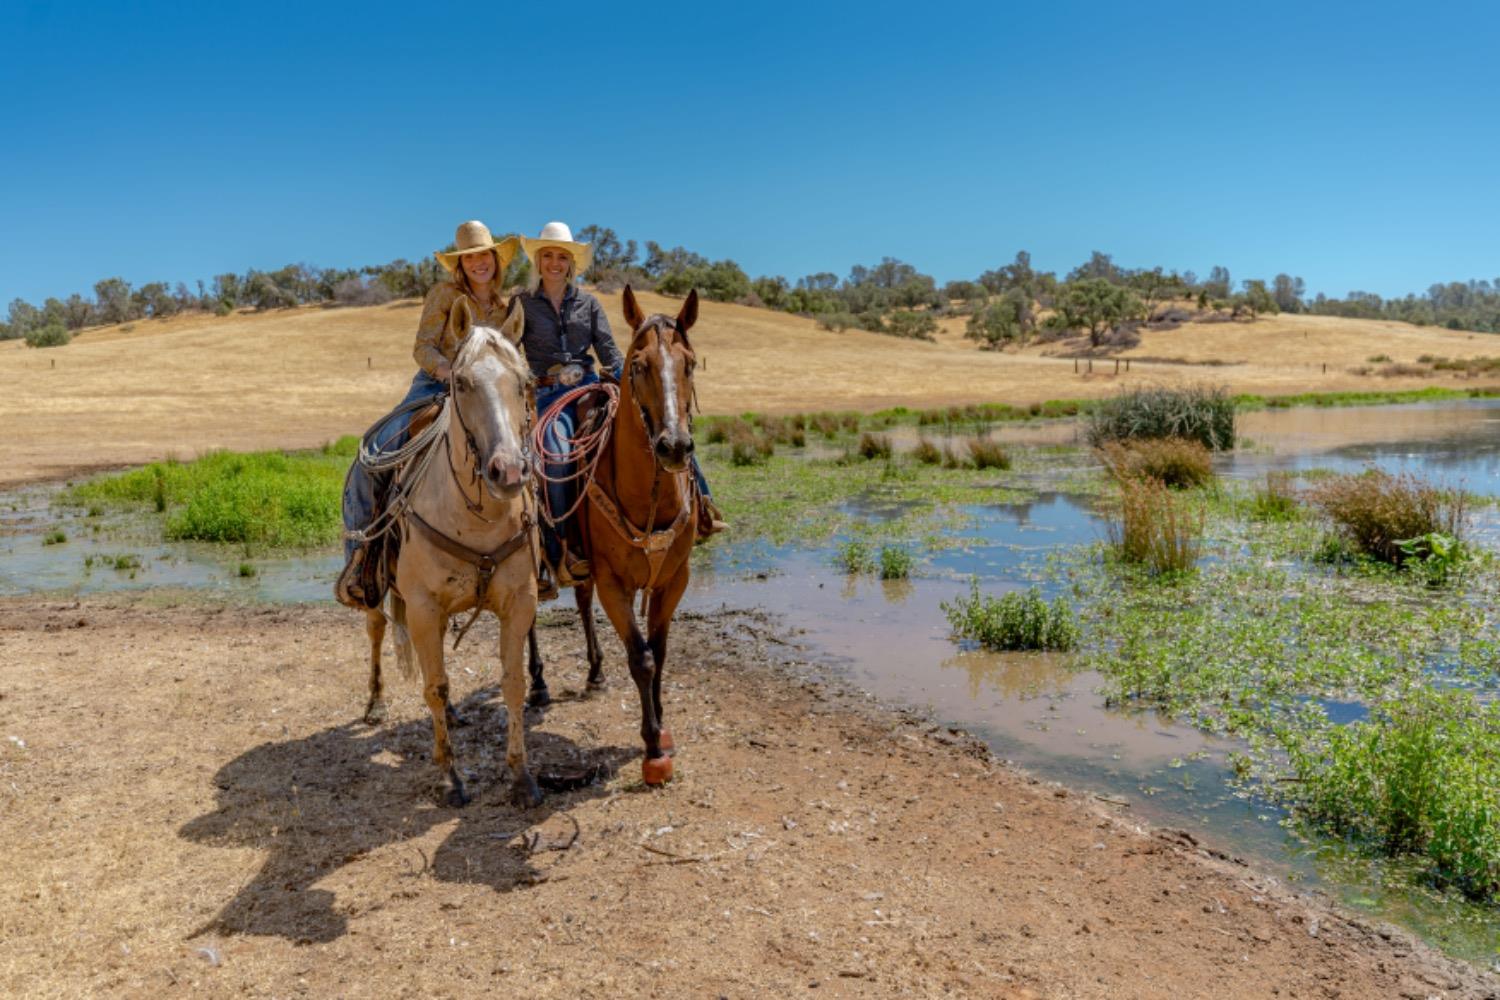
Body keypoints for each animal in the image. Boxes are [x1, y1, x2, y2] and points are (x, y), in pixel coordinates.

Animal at [360, 296, 543, 803]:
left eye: (525, 381)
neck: (476, 518)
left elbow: (513, 684)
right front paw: (450, 774)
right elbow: (435, 687)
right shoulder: (422, 607)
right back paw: (375, 702)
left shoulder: (520, 602)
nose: (508, 471)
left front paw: (521, 774)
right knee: (377, 629)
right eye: (461, 382)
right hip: (378, 591)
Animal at [531, 284, 699, 785]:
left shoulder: (673, 579)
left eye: (690, 363)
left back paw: (595, 673)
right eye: (638, 364)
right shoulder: (614, 584)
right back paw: (537, 684)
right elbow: (641, 658)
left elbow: (660, 652)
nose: (674, 446)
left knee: (582, 603)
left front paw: (663, 728)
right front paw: (653, 749)